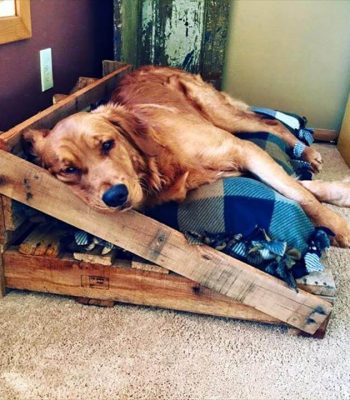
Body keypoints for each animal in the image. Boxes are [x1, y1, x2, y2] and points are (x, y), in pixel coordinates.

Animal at [23, 66, 350, 247]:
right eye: (68, 170)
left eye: (107, 144)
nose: (116, 196)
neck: (161, 161)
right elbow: (300, 188)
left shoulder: (242, 149)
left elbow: (302, 196)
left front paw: (340, 227)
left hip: (222, 116)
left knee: (271, 124)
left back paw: (308, 151)